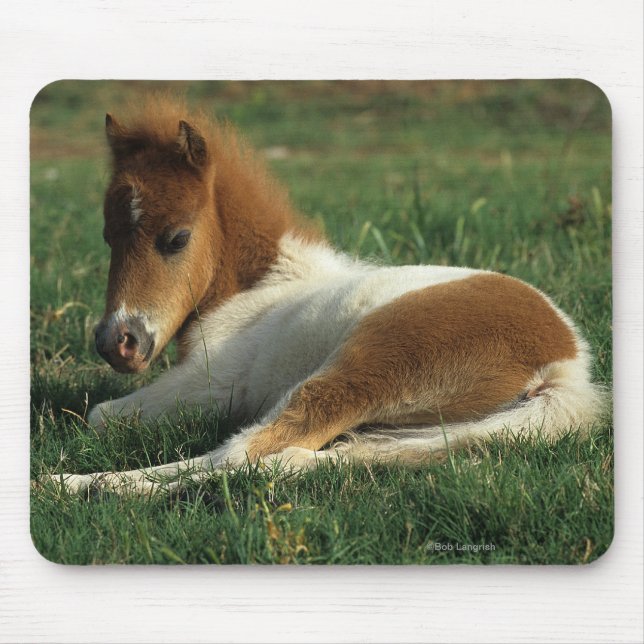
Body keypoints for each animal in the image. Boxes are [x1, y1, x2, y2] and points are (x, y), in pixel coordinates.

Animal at [50, 97, 605, 494]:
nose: (117, 342)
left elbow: (101, 416)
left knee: (245, 452)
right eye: (107, 236)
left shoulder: (210, 385)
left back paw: (76, 485)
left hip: (364, 370)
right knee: (301, 459)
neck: (263, 286)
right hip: (431, 430)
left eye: (176, 238)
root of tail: (564, 365)